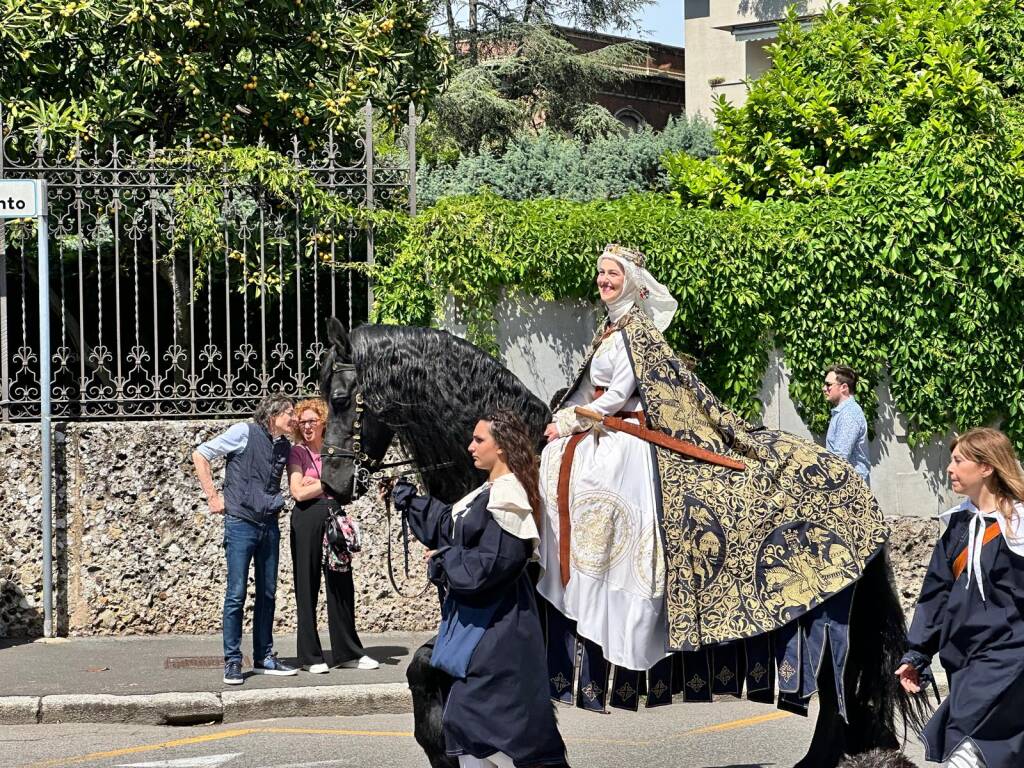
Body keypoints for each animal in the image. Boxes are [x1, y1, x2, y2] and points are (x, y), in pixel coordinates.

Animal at [317, 319, 929, 768]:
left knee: (838, 690)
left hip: (822, 620)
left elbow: (433, 672)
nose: (331, 483)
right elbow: (424, 672)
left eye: (343, 397)